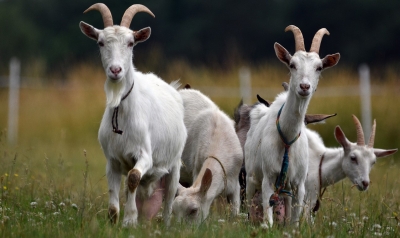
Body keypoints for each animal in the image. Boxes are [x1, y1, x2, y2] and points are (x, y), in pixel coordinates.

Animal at [80, 4, 189, 227]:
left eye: (131, 43)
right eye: (100, 42)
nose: (115, 70)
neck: (121, 113)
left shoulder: (145, 155)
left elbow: (132, 178)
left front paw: (129, 220)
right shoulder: (112, 160)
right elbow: (114, 191)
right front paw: (114, 222)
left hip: (174, 164)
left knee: (169, 198)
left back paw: (166, 225)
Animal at [171, 87, 241, 223]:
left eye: (194, 210)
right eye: (174, 211)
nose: (179, 227)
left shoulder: (235, 184)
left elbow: (235, 212)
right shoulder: (197, 169)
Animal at [244, 25, 340, 227]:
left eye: (319, 67)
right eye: (292, 64)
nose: (304, 87)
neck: (287, 139)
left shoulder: (299, 184)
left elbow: (294, 221)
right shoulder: (268, 178)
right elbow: (268, 217)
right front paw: (267, 226)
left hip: (285, 187)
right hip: (251, 178)